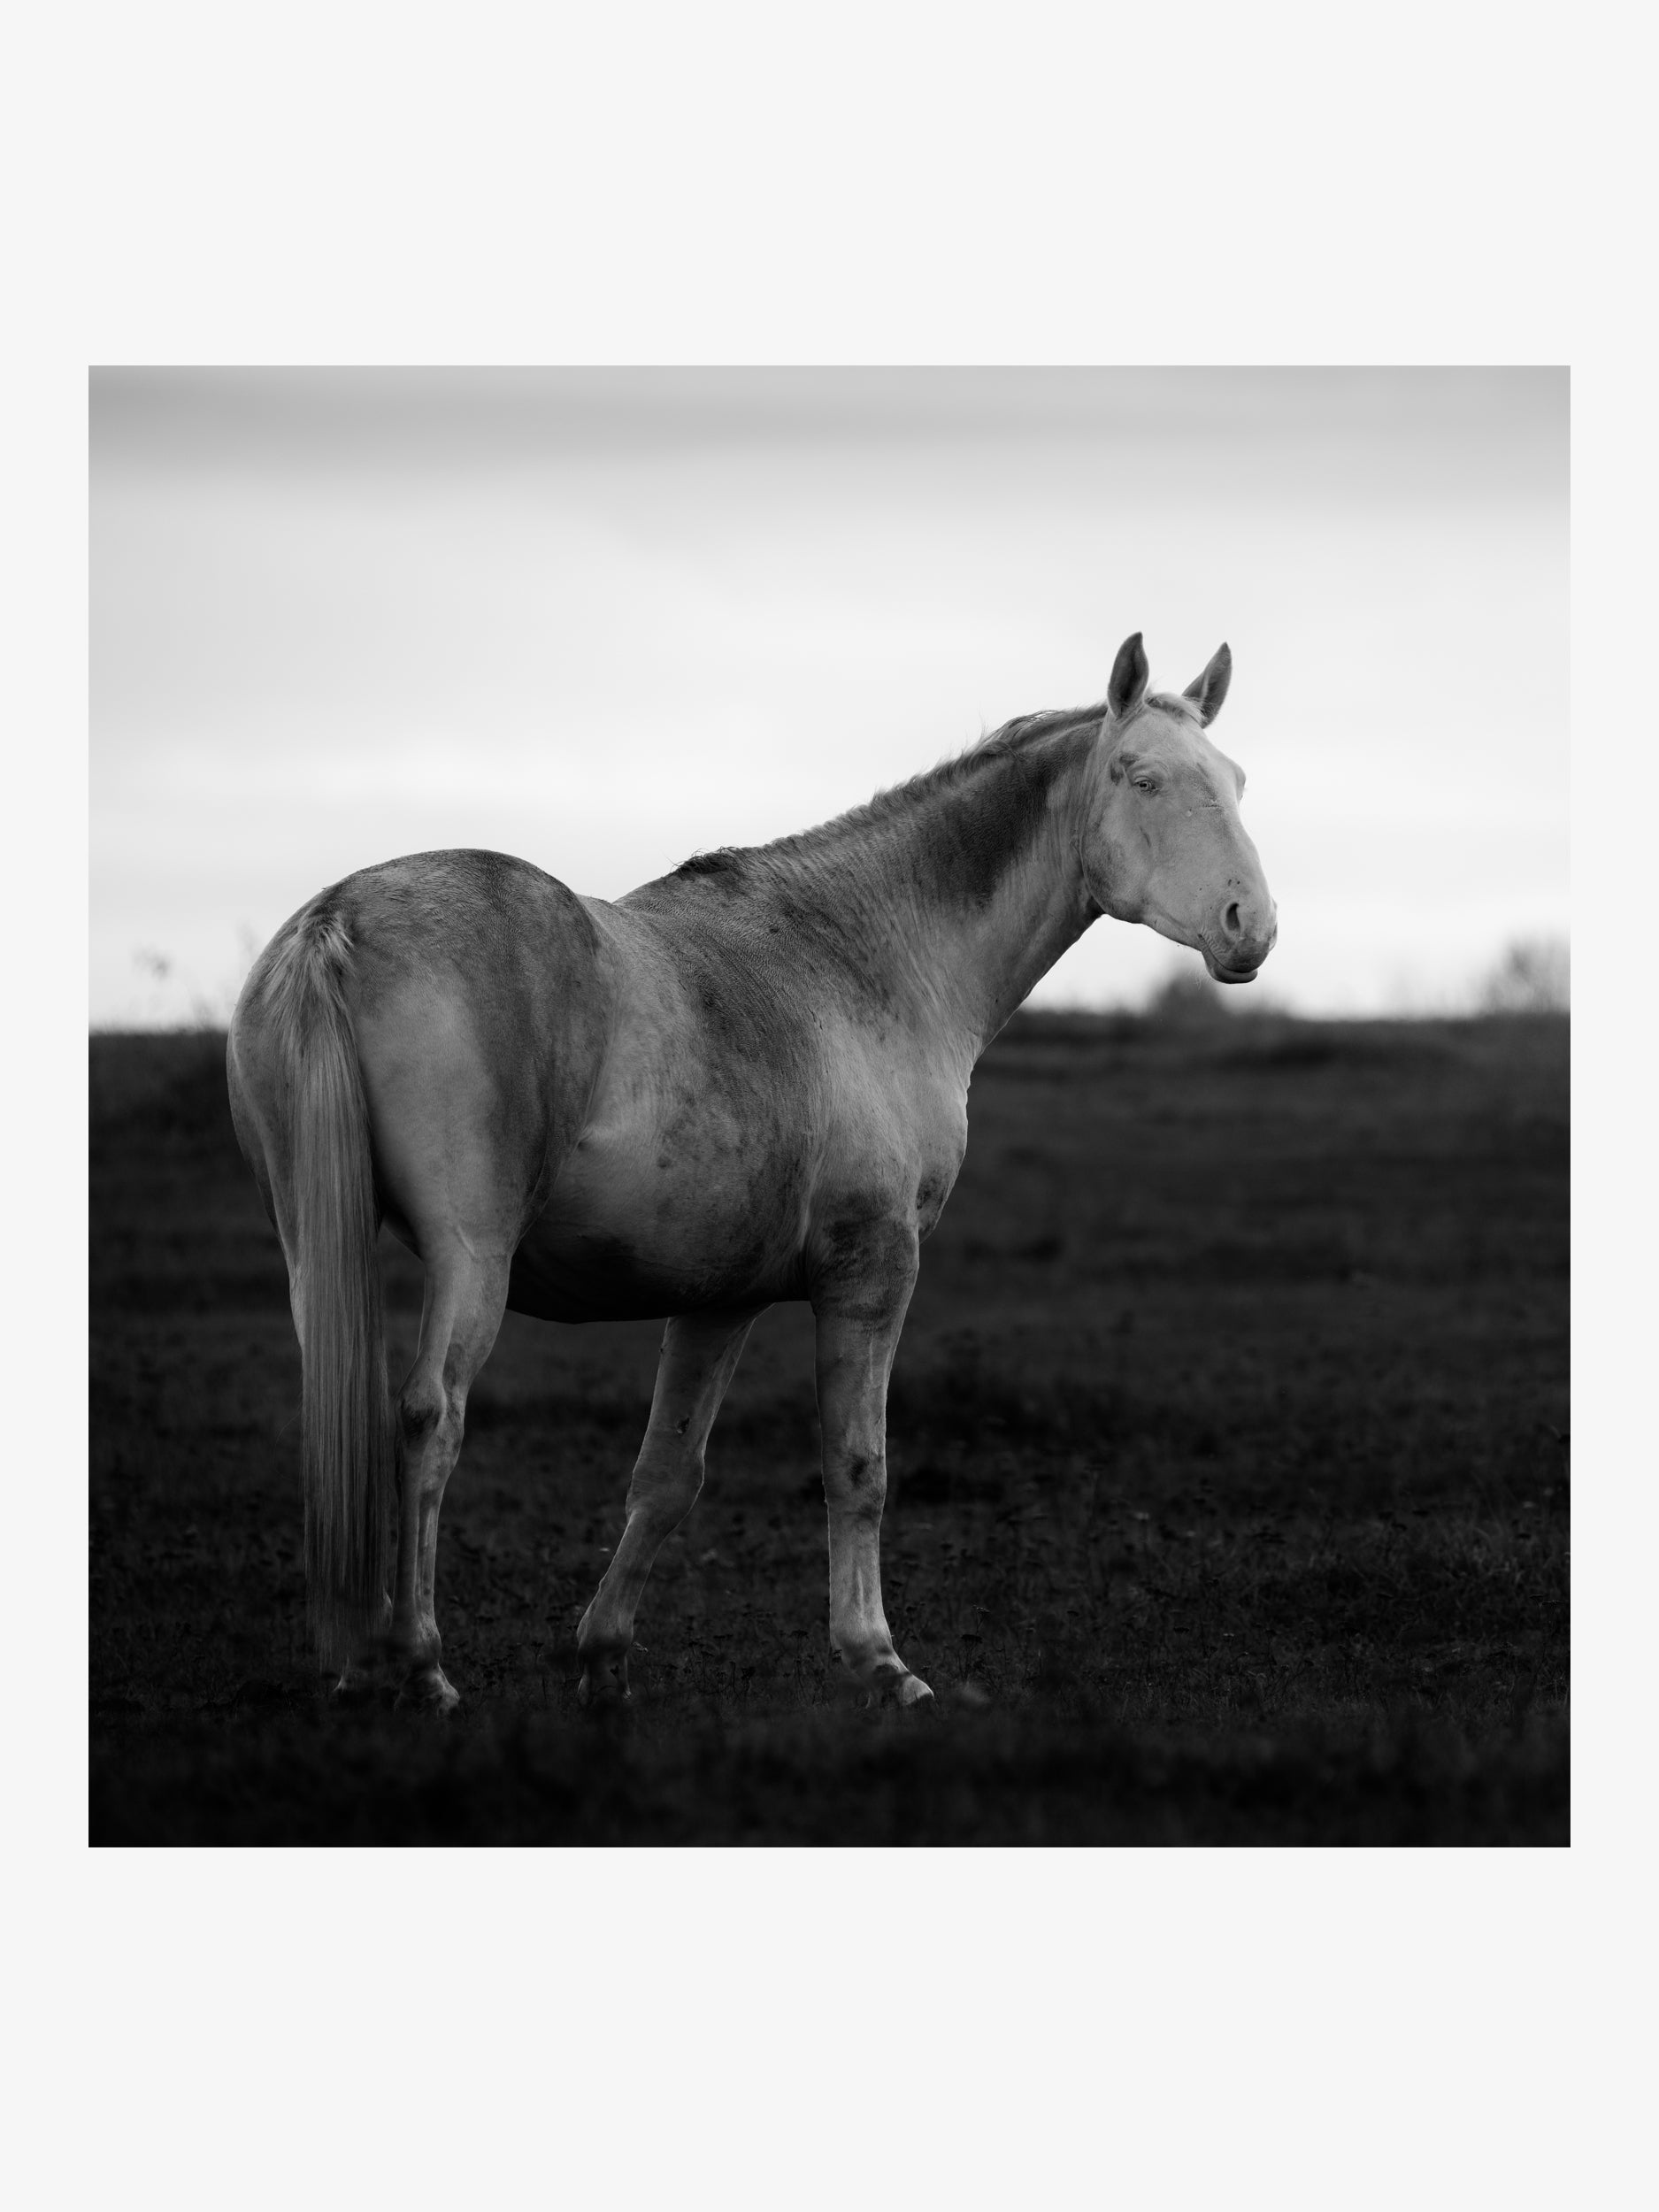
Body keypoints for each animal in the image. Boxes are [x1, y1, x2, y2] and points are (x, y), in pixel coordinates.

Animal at [227, 631, 1276, 1711]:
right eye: (1141, 776)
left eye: (1234, 780)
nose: (1250, 925)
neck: (863, 961)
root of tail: (337, 922)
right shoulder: (871, 1274)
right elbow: (859, 1467)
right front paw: (879, 1660)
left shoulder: (716, 1298)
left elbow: (667, 1474)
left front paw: (601, 1657)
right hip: (469, 1258)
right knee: (430, 1420)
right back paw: (423, 1665)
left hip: (318, 1249)